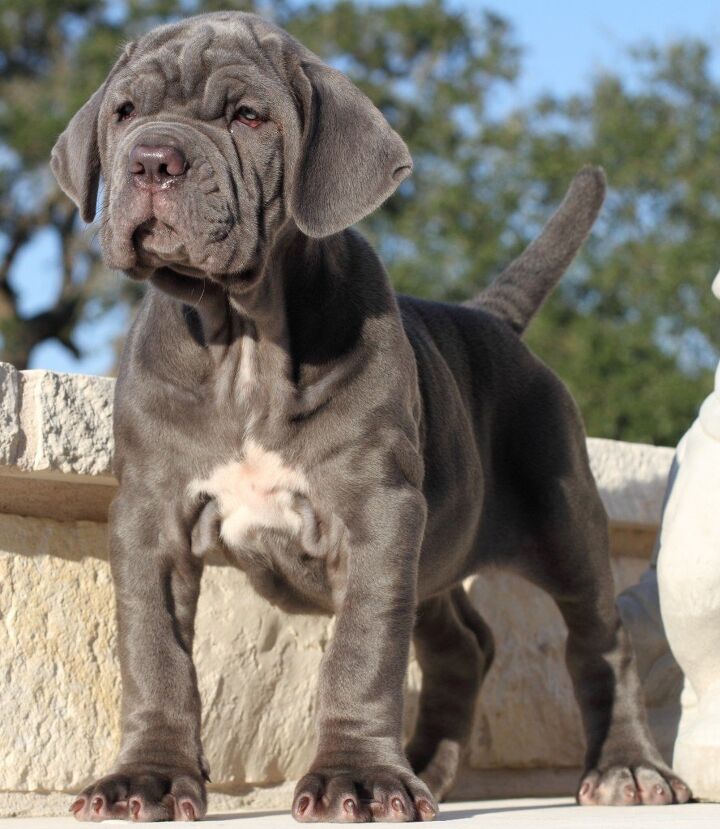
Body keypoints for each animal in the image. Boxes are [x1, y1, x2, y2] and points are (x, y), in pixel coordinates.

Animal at [50, 9, 692, 824]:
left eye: (247, 116)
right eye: (125, 112)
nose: (153, 160)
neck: (244, 337)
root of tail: (493, 319)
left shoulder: (376, 510)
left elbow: (362, 649)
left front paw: (353, 776)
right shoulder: (151, 515)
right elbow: (154, 649)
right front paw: (149, 778)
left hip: (564, 517)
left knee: (601, 639)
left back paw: (627, 767)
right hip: (441, 543)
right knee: (464, 643)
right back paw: (428, 766)